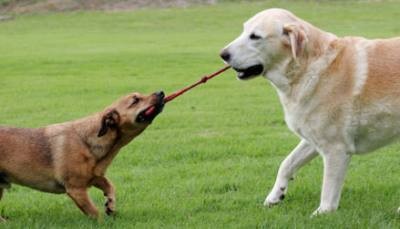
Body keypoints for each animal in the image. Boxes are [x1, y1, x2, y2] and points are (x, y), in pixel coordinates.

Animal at [220, 7, 400, 215]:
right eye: (244, 30)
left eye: (255, 36)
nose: (222, 54)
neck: (308, 68)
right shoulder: (311, 139)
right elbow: (286, 164)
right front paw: (276, 195)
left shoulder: (335, 149)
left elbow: (328, 194)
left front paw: (321, 214)